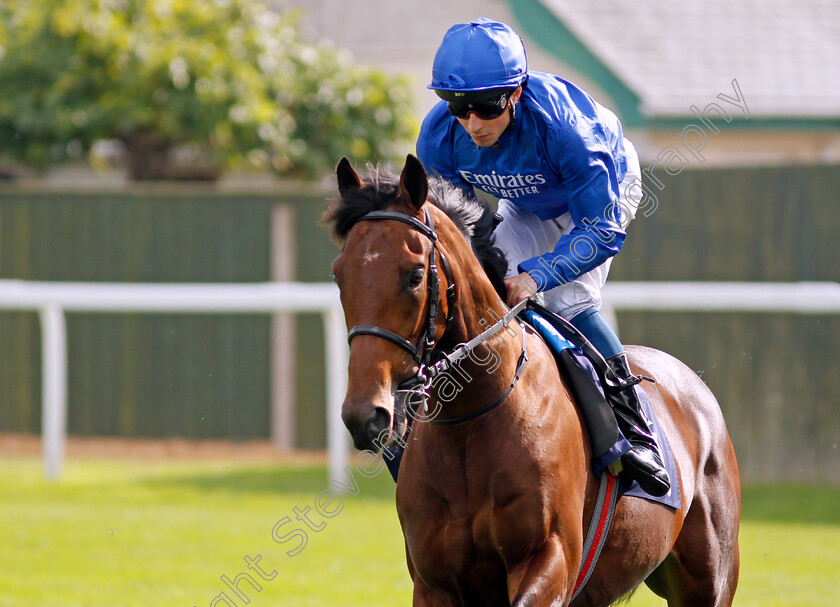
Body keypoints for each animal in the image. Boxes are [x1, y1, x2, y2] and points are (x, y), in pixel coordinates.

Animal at [324, 154, 740, 604]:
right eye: (339, 274)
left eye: (415, 275)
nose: (365, 414)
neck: (470, 420)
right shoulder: (435, 582)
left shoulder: (549, 557)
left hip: (709, 581)